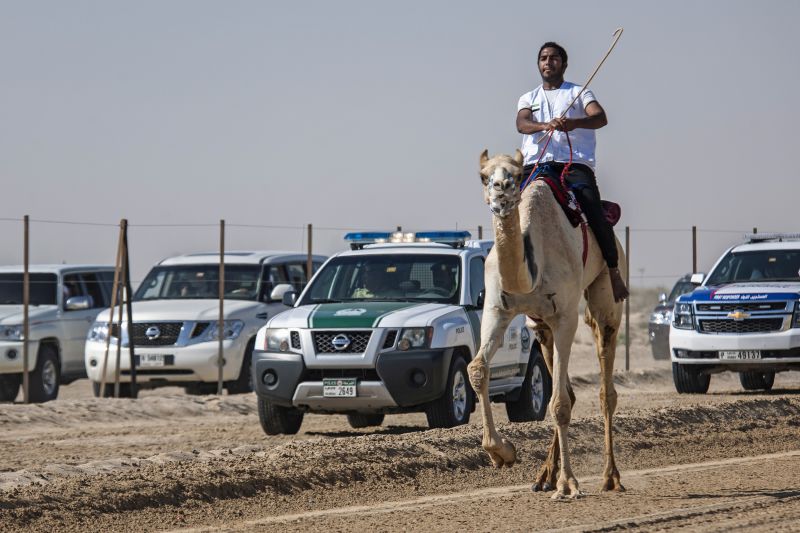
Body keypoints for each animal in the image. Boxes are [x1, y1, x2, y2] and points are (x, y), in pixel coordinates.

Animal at [466, 148, 628, 496]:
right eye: (484, 176)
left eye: (515, 175)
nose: (500, 191)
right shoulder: (498, 310)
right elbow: (477, 369)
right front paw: (502, 453)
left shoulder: (565, 316)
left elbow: (560, 404)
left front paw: (568, 484)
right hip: (541, 328)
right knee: (564, 386)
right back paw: (544, 476)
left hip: (607, 299)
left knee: (605, 389)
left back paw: (610, 476)